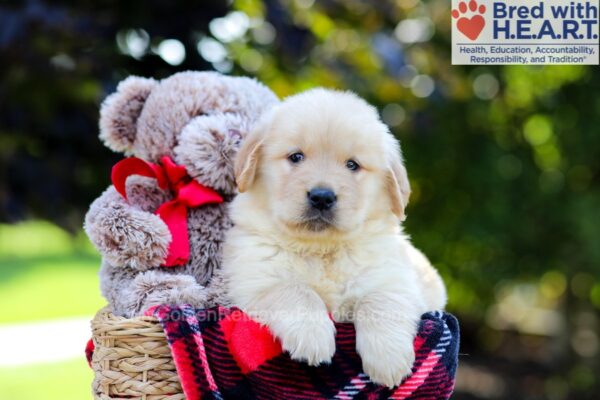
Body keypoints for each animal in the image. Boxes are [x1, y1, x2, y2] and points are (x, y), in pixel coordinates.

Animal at [220, 88, 446, 388]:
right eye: (296, 157)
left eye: (352, 165)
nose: (322, 197)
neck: (322, 249)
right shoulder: (255, 279)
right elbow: (294, 290)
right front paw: (312, 336)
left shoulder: (395, 280)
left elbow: (380, 301)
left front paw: (388, 358)